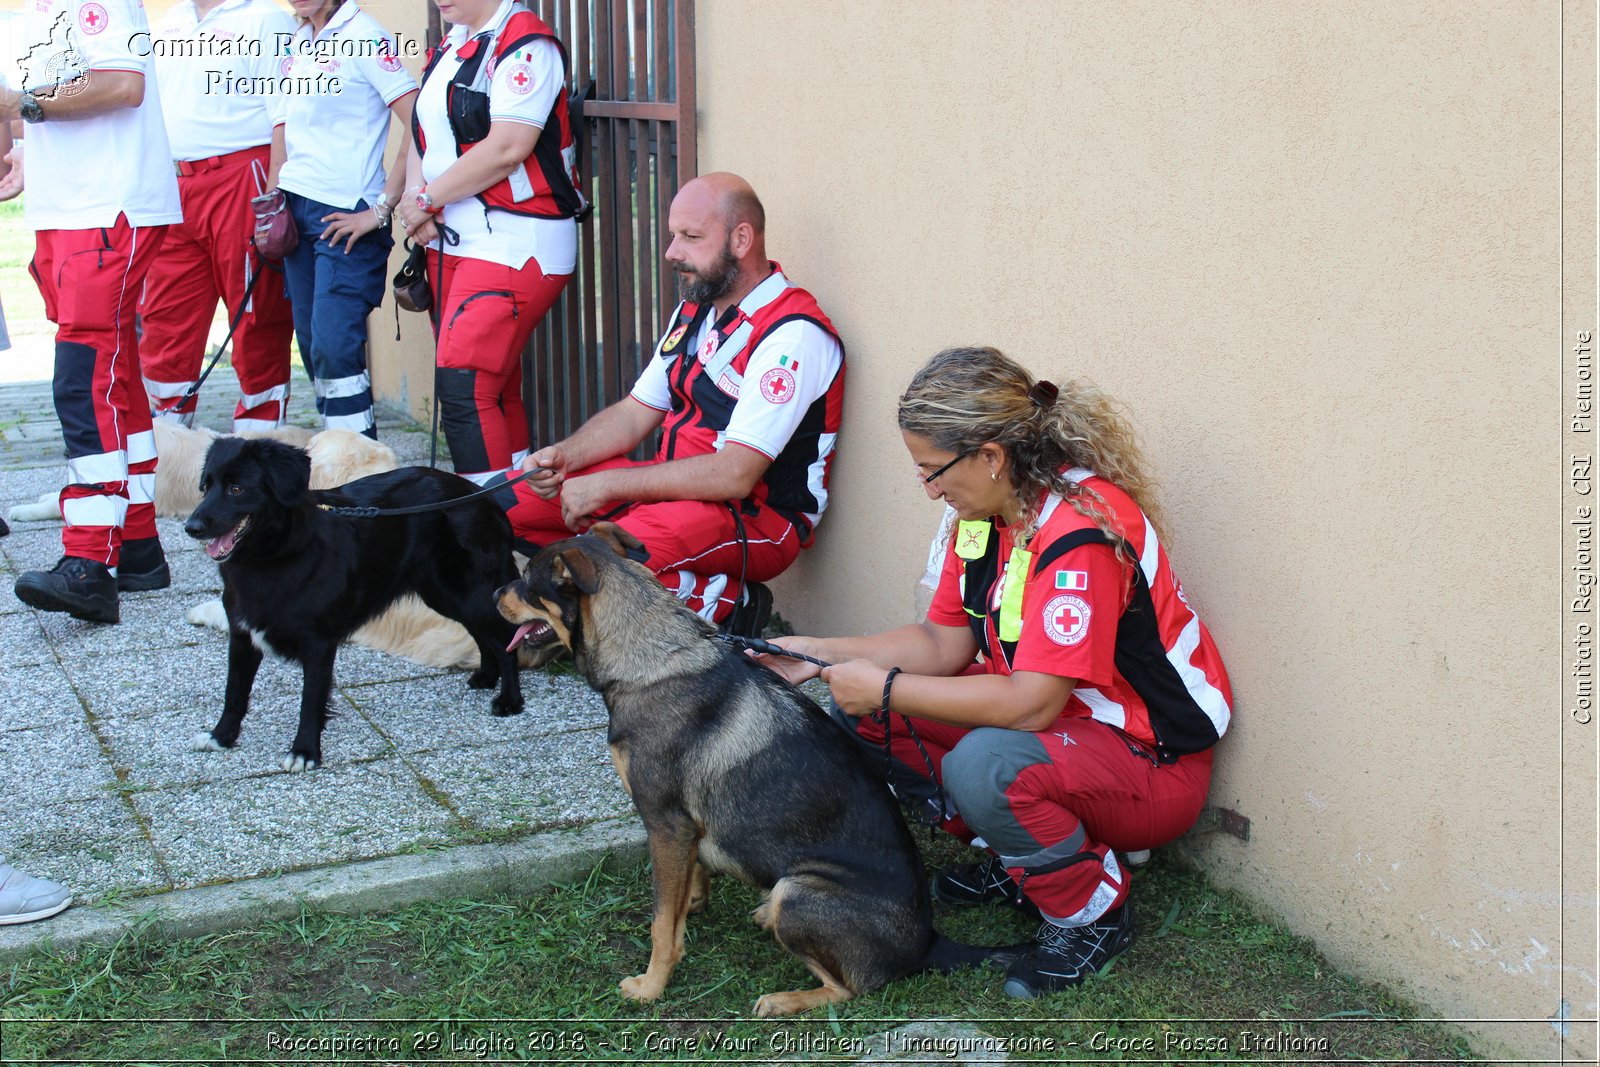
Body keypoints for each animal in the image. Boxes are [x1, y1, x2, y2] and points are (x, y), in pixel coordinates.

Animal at [185, 438, 524, 771]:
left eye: (237, 488)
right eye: (206, 486)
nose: (191, 527)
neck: (275, 553)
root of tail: (484, 498)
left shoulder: (318, 642)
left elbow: (310, 700)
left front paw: (305, 751)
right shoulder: (242, 634)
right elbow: (234, 693)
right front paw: (221, 737)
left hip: (470, 593)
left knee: (503, 640)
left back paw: (510, 700)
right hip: (444, 595)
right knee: (482, 634)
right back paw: (486, 677)